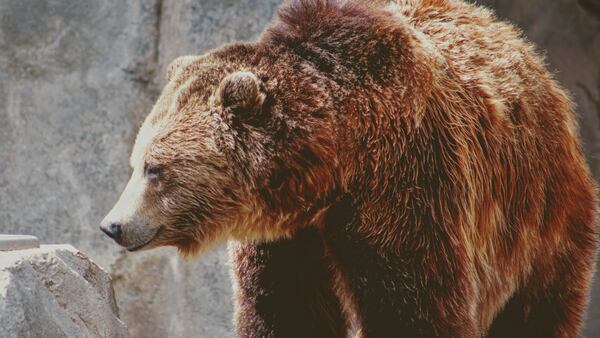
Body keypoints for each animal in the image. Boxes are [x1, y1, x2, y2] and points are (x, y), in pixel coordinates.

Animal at [101, 0, 596, 338]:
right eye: (136, 163)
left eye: (155, 169)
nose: (112, 225)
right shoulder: (287, 237)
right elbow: (286, 307)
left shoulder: (405, 185)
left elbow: (411, 305)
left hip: (539, 212)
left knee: (537, 306)